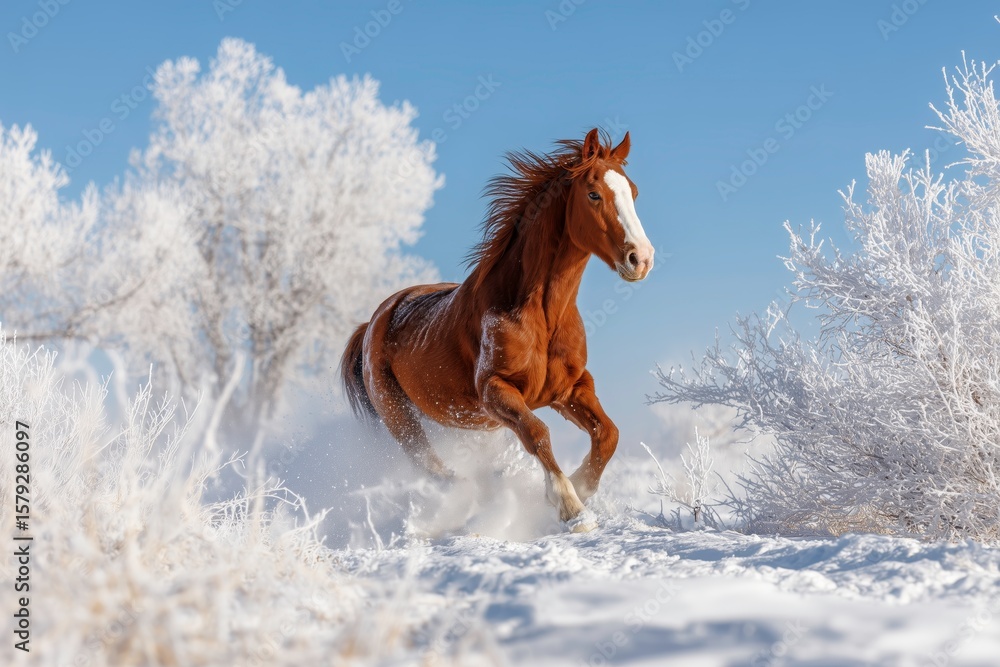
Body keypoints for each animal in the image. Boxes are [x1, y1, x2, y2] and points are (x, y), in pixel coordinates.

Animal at [340, 128, 654, 532]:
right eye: (594, 193)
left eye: (633, 192)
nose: (641, 258)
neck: (541, 315)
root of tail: (372, 324)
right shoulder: (495, 391)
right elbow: (537, 433)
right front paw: (570, 507)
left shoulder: (571, 388)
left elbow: (608, 434)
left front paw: (582, 489)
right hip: (399, 417)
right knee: (429, 465)